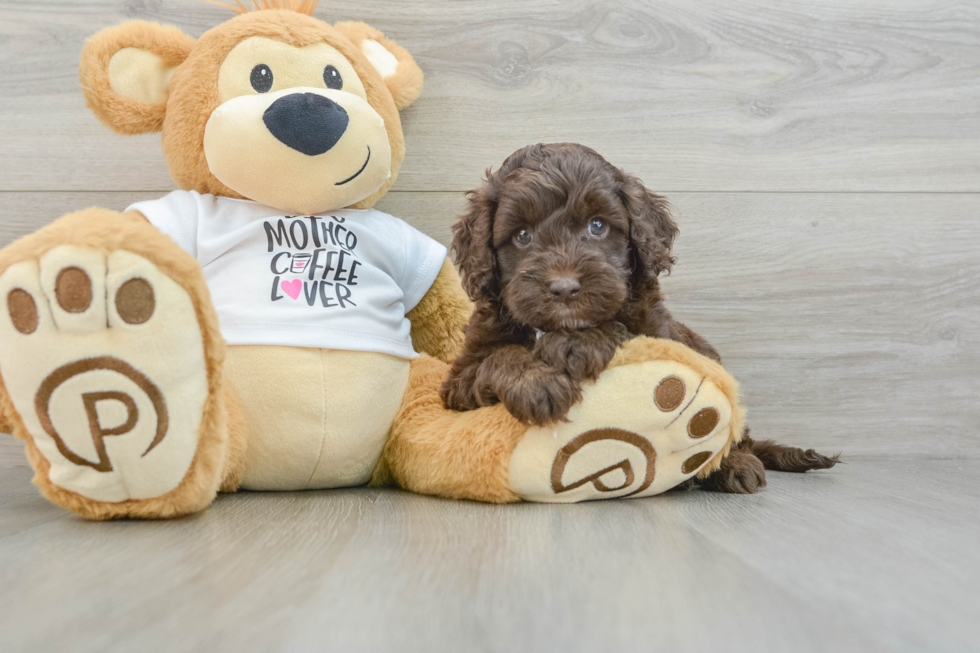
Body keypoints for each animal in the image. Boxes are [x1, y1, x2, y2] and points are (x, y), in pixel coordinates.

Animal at [440, 141, 840, 488]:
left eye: (598, 226)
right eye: (522, 235)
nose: (565, 289)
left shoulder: (663, 337)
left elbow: (624, 329)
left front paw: (574, 343)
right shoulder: (458, 383)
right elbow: (497, 359)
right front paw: (538, 383)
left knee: (733, 438)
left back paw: (736, 466)